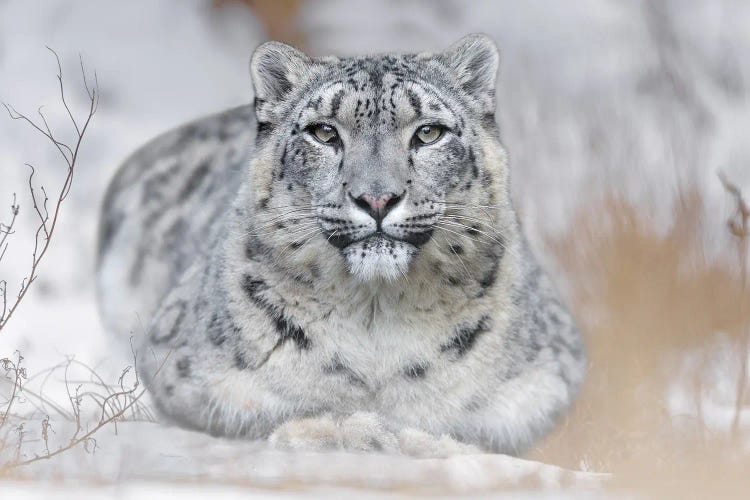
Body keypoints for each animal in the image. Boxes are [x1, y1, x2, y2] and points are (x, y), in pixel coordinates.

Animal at [97, 34, 584, 458]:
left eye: (429, 132)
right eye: (324, 132)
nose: (377, 198)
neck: (376, 315)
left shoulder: (547, 379)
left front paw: (416, 439)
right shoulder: (184, 370)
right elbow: (262, 413)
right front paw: (351, 431)